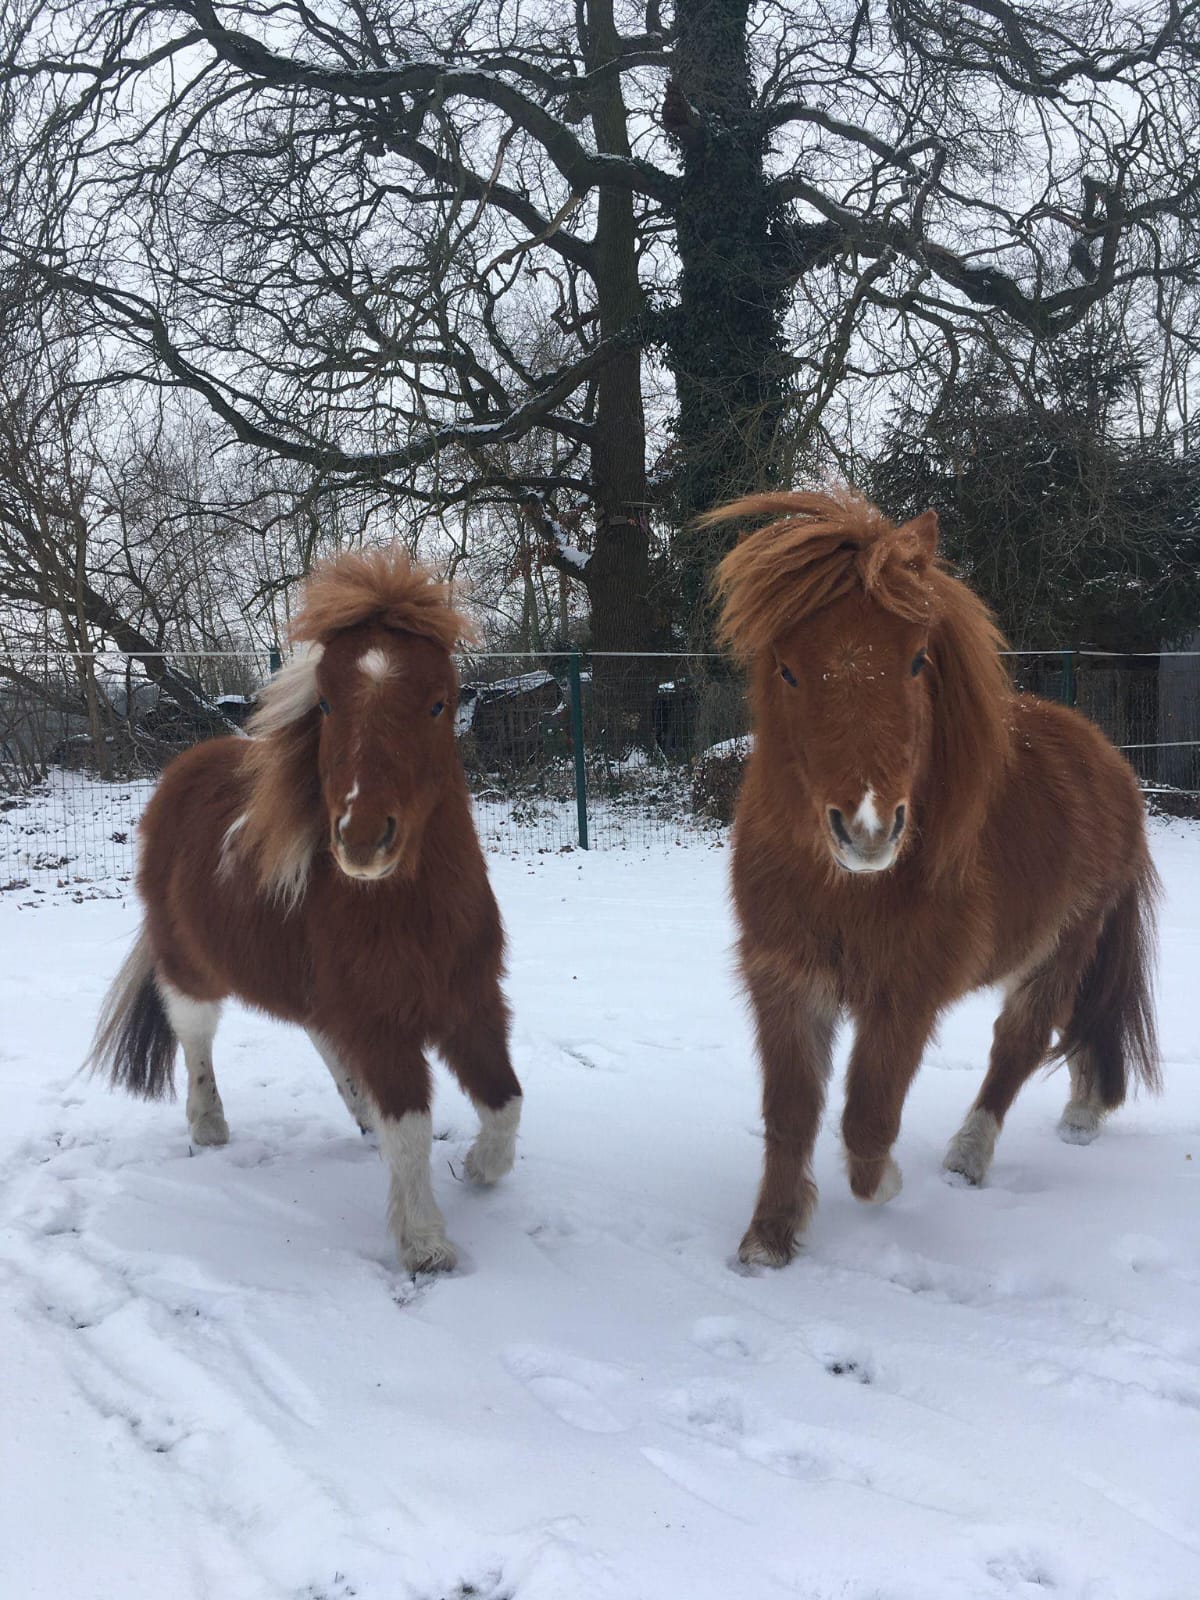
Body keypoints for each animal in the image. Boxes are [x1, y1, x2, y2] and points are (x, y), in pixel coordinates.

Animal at [87, 548, 522, 1273]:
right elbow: (412, 1127)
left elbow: (506, 1102)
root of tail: (182, 772)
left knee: (320, 1033)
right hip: (190, 966)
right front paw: (425, 1243)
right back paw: (210, 1125)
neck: (413, 912)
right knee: (196, 1035)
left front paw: (479, 1168)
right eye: (325, 701)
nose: (362, 838)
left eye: (440, 702)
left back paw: (359, 1115)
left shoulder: (472, 1003)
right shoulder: (380, 1022)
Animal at [705, 488, 1160, 1268]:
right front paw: (769, 1238)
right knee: (1081, 1022)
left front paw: (883, 1182)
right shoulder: (784, 977)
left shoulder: (905, 992)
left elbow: (866, 1116)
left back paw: (969, 1158)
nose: (867, 828)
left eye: (917, 661)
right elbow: (790, 1112)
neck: (847, 888)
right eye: (788, 670)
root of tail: (1109, 760)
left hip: (1064, 945)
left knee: (1020, 1042)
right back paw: (1082, 1112)